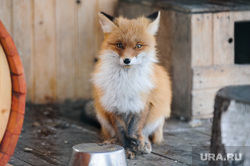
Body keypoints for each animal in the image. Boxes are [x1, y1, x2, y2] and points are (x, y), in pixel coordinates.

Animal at [92, 10, 172, 158]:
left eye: (138, 46)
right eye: (119, 45)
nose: (127, 60)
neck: (125, 82)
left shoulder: (143, 102)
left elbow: (133, 128)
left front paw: (137, 143)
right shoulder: (113, 103)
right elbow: (121, 130)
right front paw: (126, 147)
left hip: (158, 117)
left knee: (148, 133)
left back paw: (145, 143)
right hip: (102, 115)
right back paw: (112, 141)